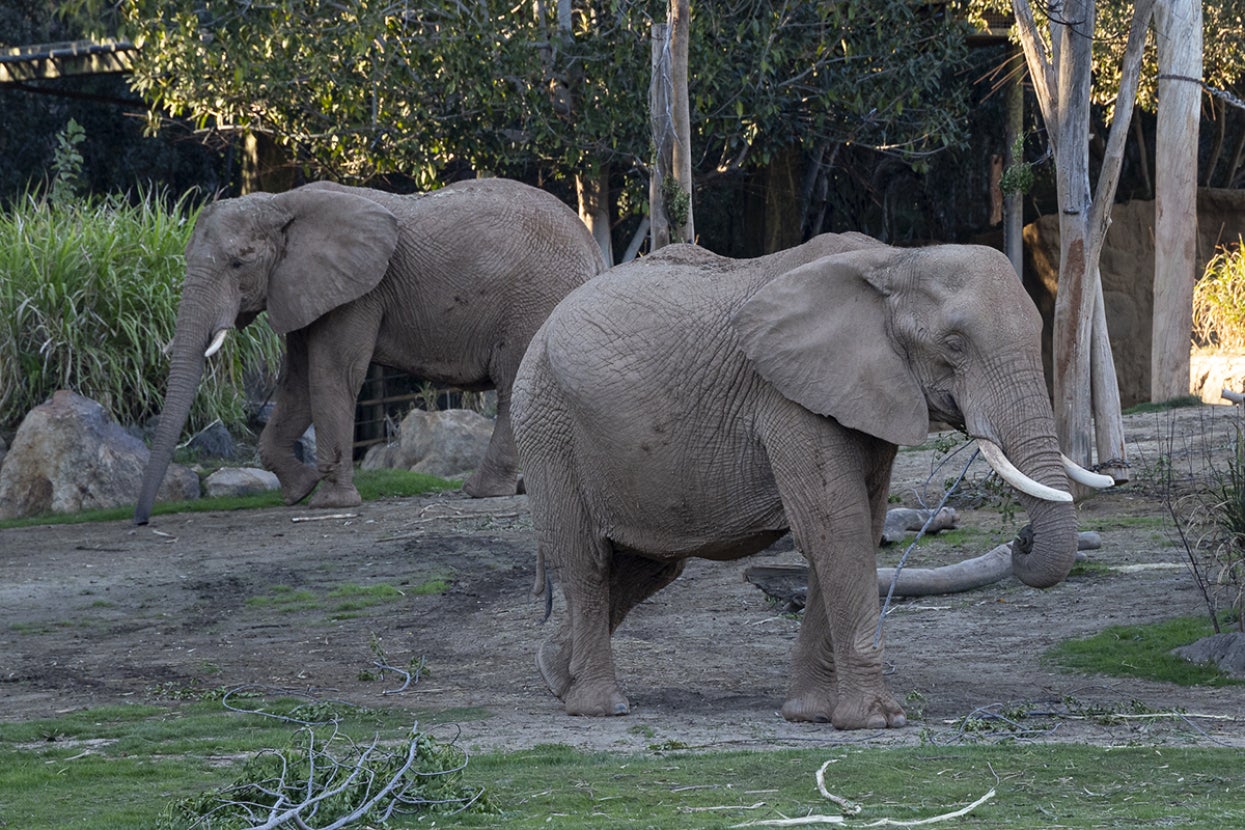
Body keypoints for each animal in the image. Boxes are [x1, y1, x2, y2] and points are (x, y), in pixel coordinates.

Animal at [134, 178, 605, 525]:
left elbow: (332, 374)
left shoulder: (359, 294)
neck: (281, 203)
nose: (141, 520)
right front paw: (299, 490)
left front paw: (330, 504)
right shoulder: (302, 287)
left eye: (239, 263)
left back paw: (480, 491)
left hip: (536, 300)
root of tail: (594, 250)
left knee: (513, 389)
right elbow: (297, 384)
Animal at [510, 234, 1112, 729]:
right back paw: (600, 706)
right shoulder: (788, 397)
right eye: (955, 344)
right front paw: (878, 720)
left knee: (651, 565)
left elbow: (855, 528)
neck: (894, 259)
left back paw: (554, 675)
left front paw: (811, 714)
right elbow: (834, 529)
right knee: (587, 558)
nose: (1022, 539)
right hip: (547, 424)